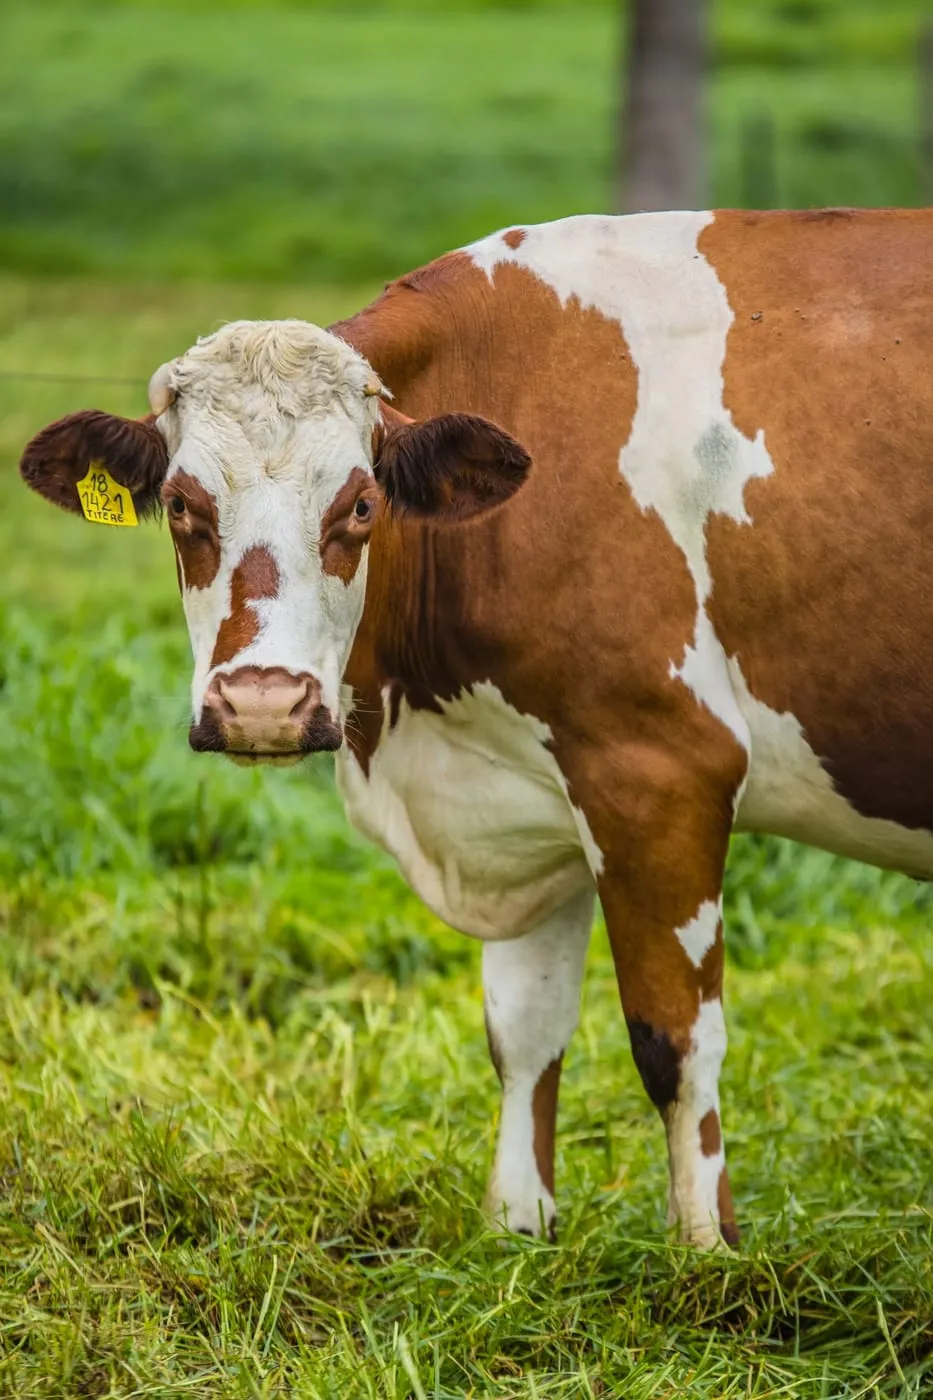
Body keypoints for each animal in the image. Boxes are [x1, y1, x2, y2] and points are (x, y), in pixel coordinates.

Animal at [20, 210, 933, 1248]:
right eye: (180, 504)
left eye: (361, 504)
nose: (261, 706)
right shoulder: (531, 794)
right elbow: (522, 1030)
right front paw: (515, 1230)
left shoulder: (661, 771)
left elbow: (676, 1040)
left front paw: (712, 1255)